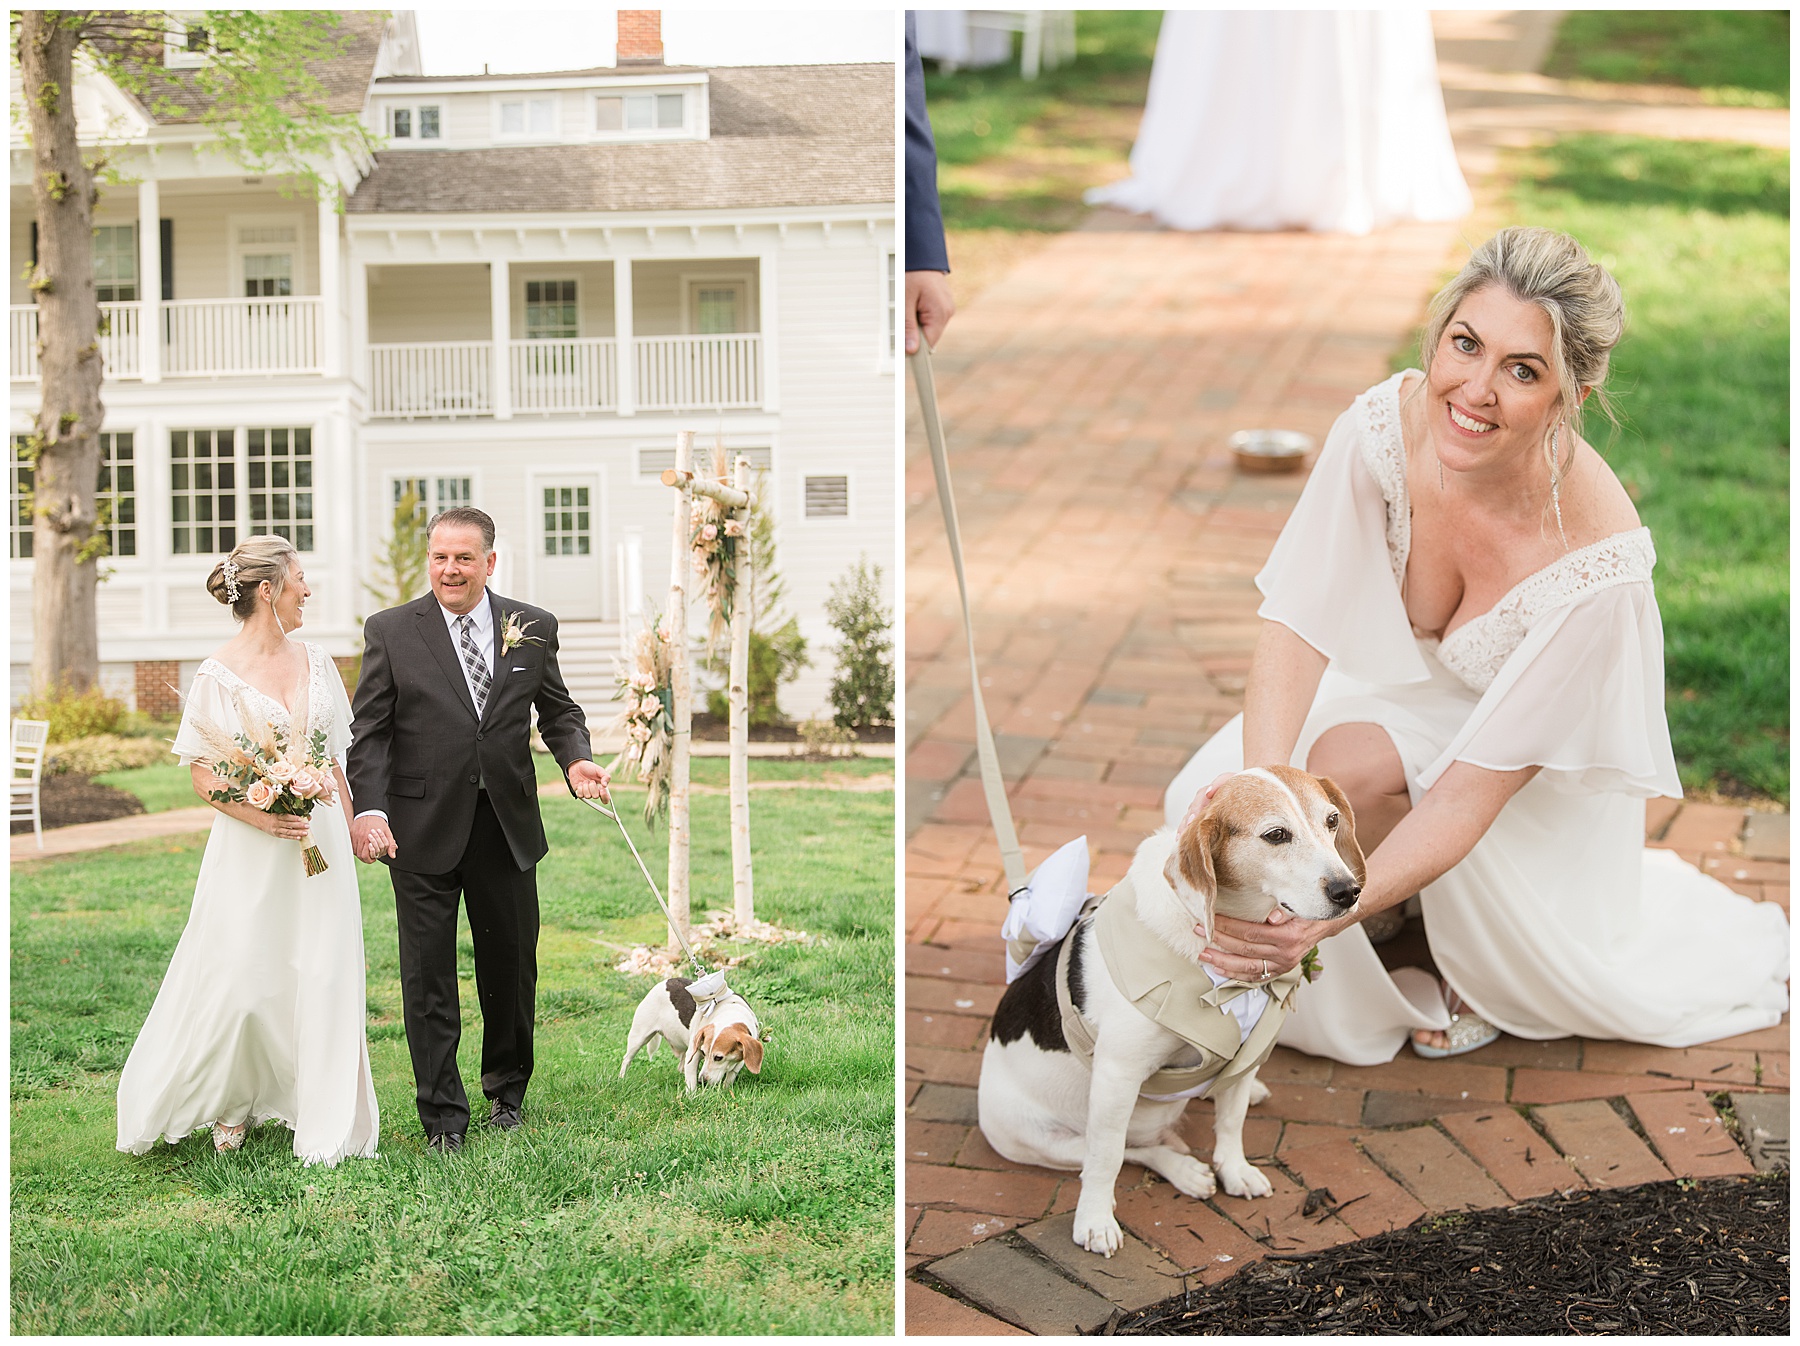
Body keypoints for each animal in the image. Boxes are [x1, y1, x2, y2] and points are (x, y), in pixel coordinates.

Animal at [622, 978, 763, 1094]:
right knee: (626, 1059)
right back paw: (621, 1078)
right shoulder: (693, 1055)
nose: (702, 1081)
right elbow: (691, 1083)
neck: (729, 1012)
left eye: (718, 1057)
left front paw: (725, 1090)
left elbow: (729, 1077)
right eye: (704, 1053)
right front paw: (692, 1097)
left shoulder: (739, 1062)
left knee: (681, 1066)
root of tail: (665, 981)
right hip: (638, 1038)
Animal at [986, 773, 1360, 1259]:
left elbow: (1231, 1120)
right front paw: (1094, 1220)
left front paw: (1234, 1168)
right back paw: (1183, 1169)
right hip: (1034, 1139)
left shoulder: (1246, 1053)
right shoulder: (1117, 1076)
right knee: (1127, 1149)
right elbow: (1105, 1157)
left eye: (1332, 821)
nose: (1349, 891)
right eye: (1276, 835)